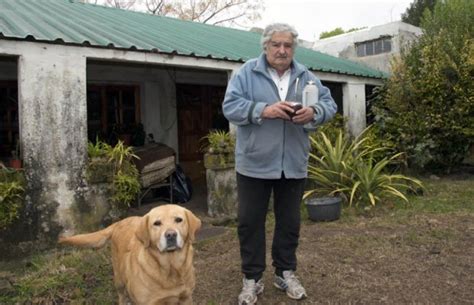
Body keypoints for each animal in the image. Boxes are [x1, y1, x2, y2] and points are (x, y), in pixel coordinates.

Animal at [58, 203, 201, 304]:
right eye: (157, 223)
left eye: (179, 220)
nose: (171, 235)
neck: (171, 268)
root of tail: (118, 222)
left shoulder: (186, 298)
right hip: (119, 280)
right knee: (121, 296)